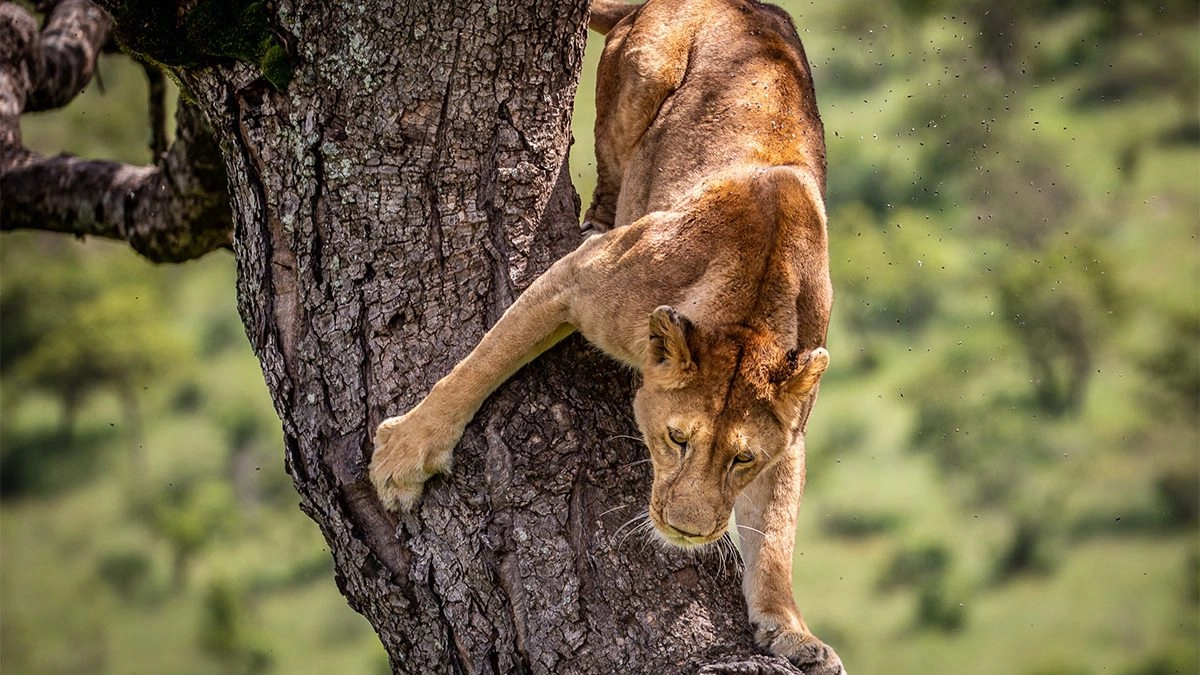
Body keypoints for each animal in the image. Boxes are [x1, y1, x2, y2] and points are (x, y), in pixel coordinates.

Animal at [370, 0, 844, 671]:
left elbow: (774, 533)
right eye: (676, 439)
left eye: (742, 458)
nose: (689, 530)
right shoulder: (577, 278)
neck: (750, 313)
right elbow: (482, 363)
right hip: (646, 71)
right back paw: (599, 214)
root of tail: (744, 4)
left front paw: (792, 632)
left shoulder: (791, 431)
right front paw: (407, 453)